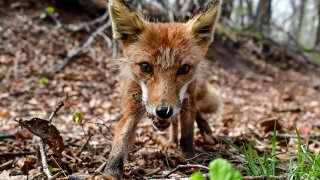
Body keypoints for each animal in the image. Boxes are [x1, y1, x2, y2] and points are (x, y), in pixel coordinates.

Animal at [104, 0, 221, 179]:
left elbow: (187, 136)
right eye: (145, 67)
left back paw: (204, 128)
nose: (163, 111)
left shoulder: (187, 101)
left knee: (195, 112)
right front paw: (110, 172)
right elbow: (121, 140)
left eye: (184, 69)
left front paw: (190, 162)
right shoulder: (131, 108)